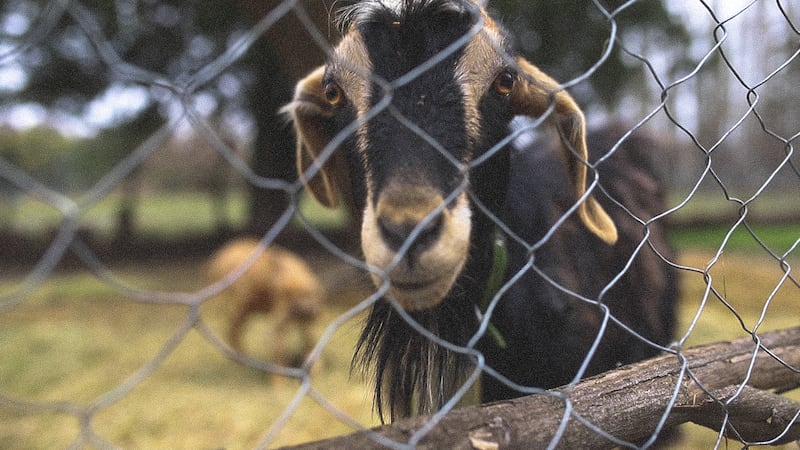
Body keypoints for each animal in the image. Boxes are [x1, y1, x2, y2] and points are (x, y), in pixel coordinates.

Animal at [209, 237, 328, 368]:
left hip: (247, 308)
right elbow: (281, 351)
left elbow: (310, 344)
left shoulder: (305, 323)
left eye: (311, 295)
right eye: (289, 296)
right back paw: (241, 360)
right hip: (240, 307)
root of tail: (220, 257)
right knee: (231, 331)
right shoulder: (280, 319)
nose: (311, 311)